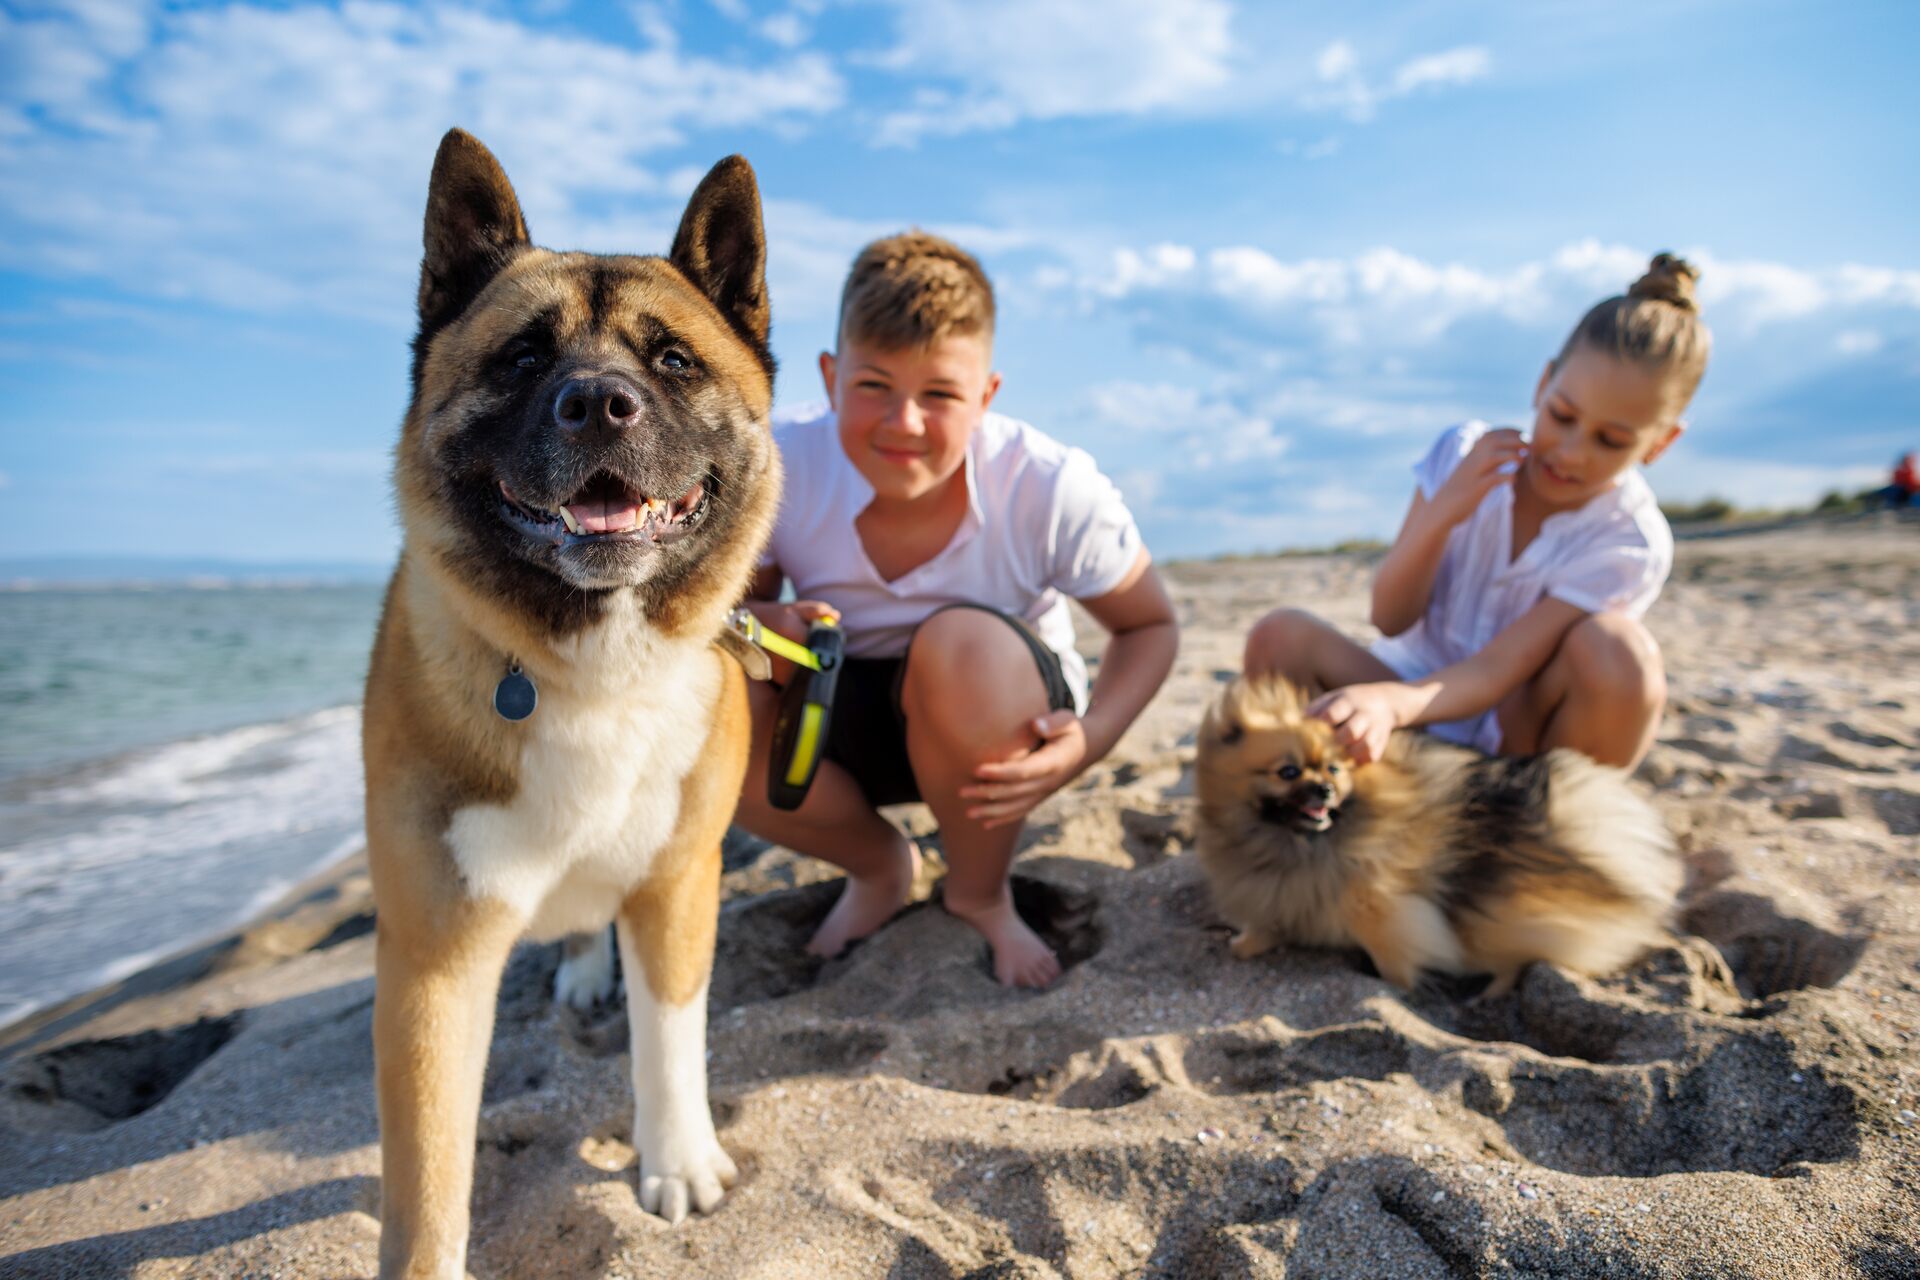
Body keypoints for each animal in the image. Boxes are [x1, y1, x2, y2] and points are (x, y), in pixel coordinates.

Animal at [360, 132, 779, 1280]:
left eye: (672, 360)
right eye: (520, 359)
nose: (599, 403)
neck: (592, 664)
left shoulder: (680, 885)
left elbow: (669, 1039)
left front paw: (678, 1163)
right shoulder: (433, 964)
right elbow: (428, 1179)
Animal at [1198, 675, 1681, 997]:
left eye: (1333, 768)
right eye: (1288, 772)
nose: (1324, 789)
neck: (1296, 844)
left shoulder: (1376, 905)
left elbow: (1393, 954)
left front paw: (1392, 987)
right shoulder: (1280, 890)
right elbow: (1267, 921)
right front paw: (1245, 944)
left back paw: (1490, 992)